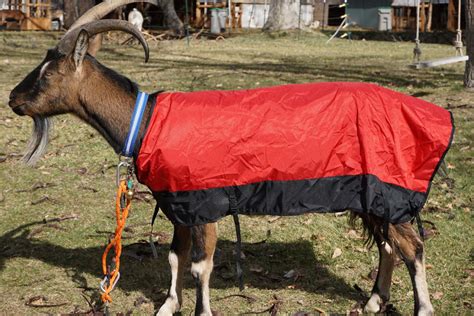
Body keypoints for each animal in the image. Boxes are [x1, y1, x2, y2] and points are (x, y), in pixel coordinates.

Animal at [7, 0, 452, 314]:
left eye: (48, 73)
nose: (12, 99)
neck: (146, 120)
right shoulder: (180, 204)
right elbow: (176, 257)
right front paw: (168, 306)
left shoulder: (205, 202)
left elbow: (200, 266)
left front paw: (200, 311)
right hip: (373, 196)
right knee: (389, 246)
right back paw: (374, 302)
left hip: (388, 190)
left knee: (413, 247)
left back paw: (422, 308)